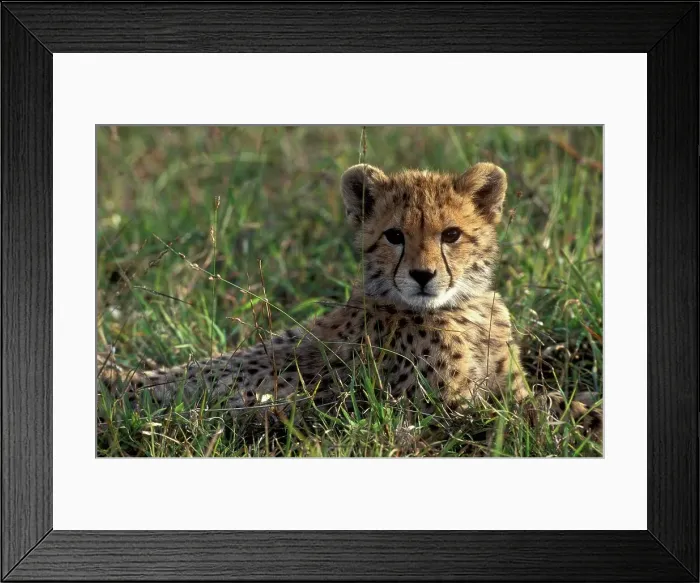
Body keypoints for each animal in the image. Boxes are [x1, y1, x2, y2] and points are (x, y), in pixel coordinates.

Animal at [98, 162, 603, 442]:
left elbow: (538, 400)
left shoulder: (503, 387)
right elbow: (526, 414)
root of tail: (119, 378)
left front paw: (585, 403)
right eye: (394, 236)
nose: (423, 275)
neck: (464, 308)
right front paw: (583, 417)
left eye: (451, 235)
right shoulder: (446, 410)